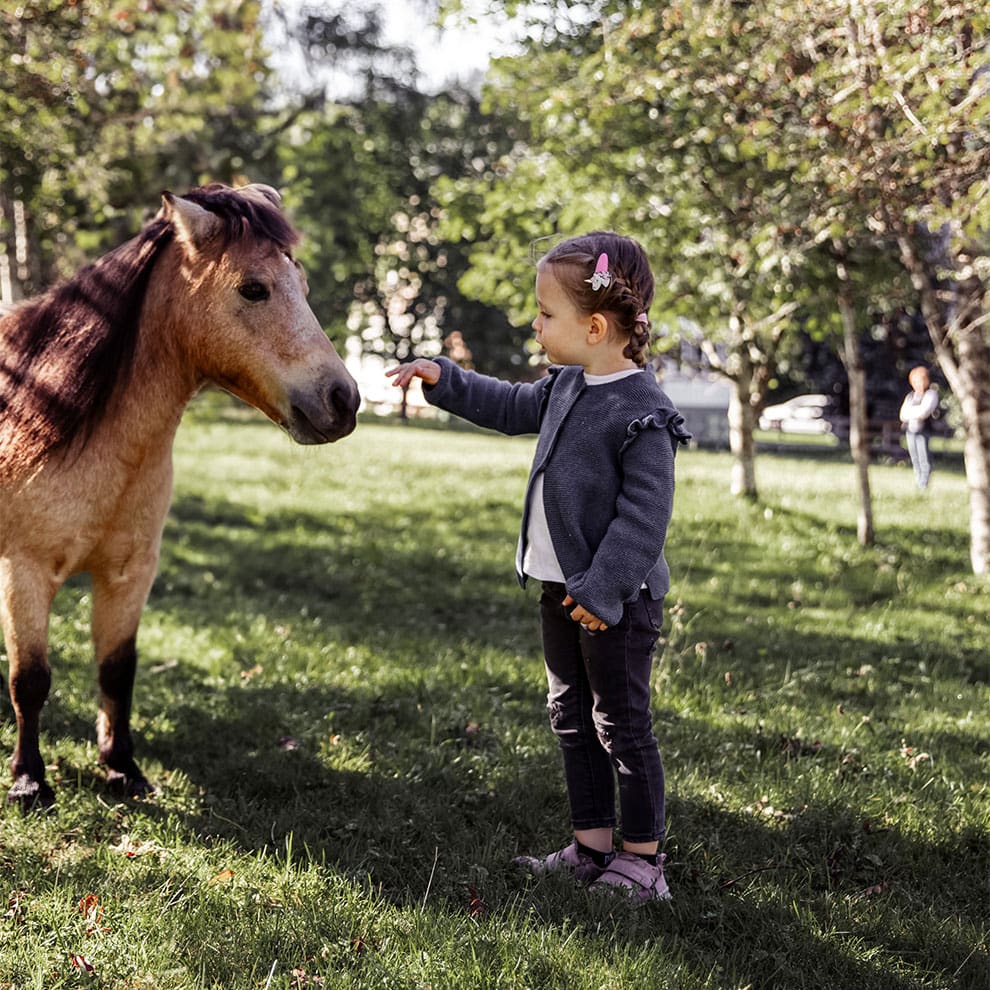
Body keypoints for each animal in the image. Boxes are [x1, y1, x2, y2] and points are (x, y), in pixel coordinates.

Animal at [0, 182, 362, 808]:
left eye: (304, 285)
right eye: (253, 288)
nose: (343, 400)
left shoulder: (130, 574)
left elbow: (117, 670)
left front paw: (121, 768)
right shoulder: (25, 571)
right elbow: (31, 678)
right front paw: (28, 780)